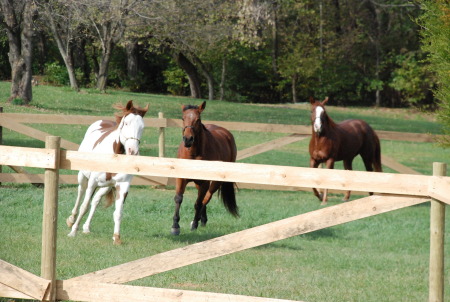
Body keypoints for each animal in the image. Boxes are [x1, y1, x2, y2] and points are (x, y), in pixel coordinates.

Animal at [66, 100, 149, 244]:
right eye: (126, 123)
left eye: (142, 127)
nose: (132, 151)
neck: (114, 157)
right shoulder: (93, 182)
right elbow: (84, 206)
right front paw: (73, 231)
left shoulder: (123, 185)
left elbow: (118, 212)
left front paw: (117, 238)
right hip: (83, 177)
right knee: (80, 194)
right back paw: (71, 220)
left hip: (107, 186)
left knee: (96, 201)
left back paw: (86, 227)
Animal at [171, 100, 239, 235]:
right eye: (183, 118)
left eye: (198, 119)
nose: (188, 139)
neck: (193, 154)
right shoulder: (181, 178)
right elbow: (178, 199)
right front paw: (175, 226)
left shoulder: (205, 182)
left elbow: (198, 203)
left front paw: (194, 225)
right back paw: (202, 220)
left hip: (214, 183)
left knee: (206, 198)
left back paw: (197, 221)